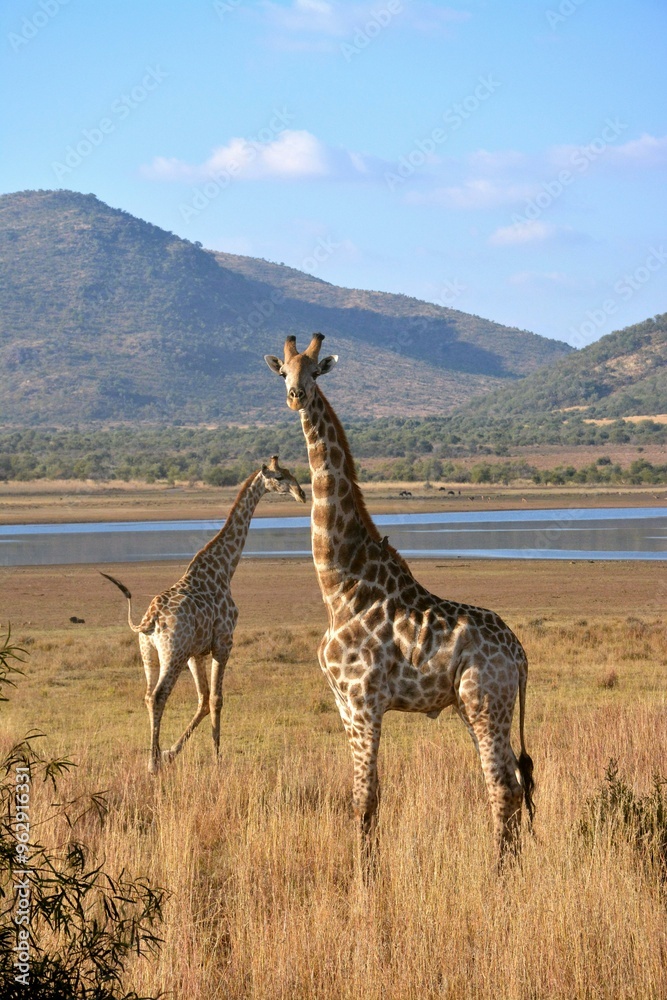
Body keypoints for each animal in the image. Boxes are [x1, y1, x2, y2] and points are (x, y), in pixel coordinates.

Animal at [102, 456, 306, 774]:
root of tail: (150, 620)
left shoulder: (196, 652)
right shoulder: (224, 642)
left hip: (149, 652)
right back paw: (152, 764)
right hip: (172, 653)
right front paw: (217, 757)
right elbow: (218, 699)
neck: (224, 568)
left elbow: (203, 699)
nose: (302, 493)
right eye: (280, 477)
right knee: (159, 695)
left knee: (148, 695)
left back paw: (156, 755)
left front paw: (171, 752)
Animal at [265, 336, 534, 865]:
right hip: (477, 706)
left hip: (485, 702)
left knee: (505, 786)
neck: (340, 585)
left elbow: (365, 798)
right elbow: (365, 797)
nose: (295, 396)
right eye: (283, 370)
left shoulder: (364, 701)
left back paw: (499, 873)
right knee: (511, 783)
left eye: (315, 372)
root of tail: (519, 654)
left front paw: (363, 877)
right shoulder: (343, 705)